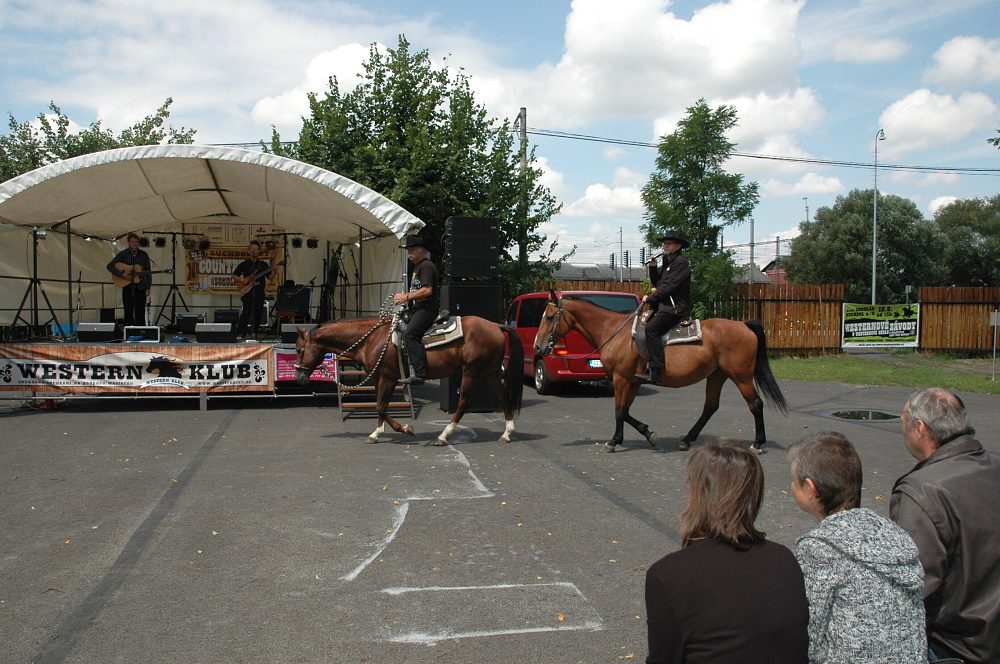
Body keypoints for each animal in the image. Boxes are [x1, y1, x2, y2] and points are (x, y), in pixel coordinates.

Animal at [294, 313, 524, 445]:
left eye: (299, 349)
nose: (298, 377)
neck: (372, 339)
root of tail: (496, 325)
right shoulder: (379, 378)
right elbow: (380, 406)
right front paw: (376, 433)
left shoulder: (388, 378)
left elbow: (381, 407)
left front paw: (405, 429)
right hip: (488, 371)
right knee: (502, 396)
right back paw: (507, 433)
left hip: (471, 371)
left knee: (464, 402)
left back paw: (443, 436)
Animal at [532, 291, 786, 453]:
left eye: (550, 317)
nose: (538, 347)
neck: (614, 332)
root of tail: (743, 325)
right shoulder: (632, 381)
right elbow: (625, 411)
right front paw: (643, 434)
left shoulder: (622, 379)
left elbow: (619, 411)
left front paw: (616, 441)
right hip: (717, 375)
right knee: (710, 407)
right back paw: (687, 439)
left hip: (741, 376)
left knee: (755, 405)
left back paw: (758, 443)